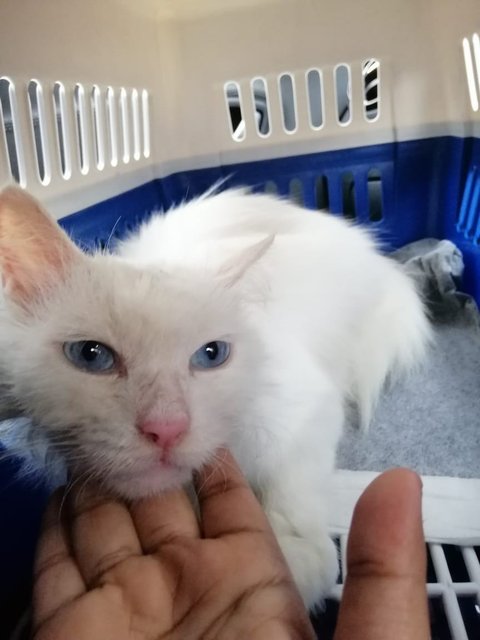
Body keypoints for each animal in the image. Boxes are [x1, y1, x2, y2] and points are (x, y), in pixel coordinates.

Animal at [0, 186, 430, 608]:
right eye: (91, 355)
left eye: (211, 355)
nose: (166, 429)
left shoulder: (304, 410)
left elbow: (293, 488)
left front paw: (293, 560)